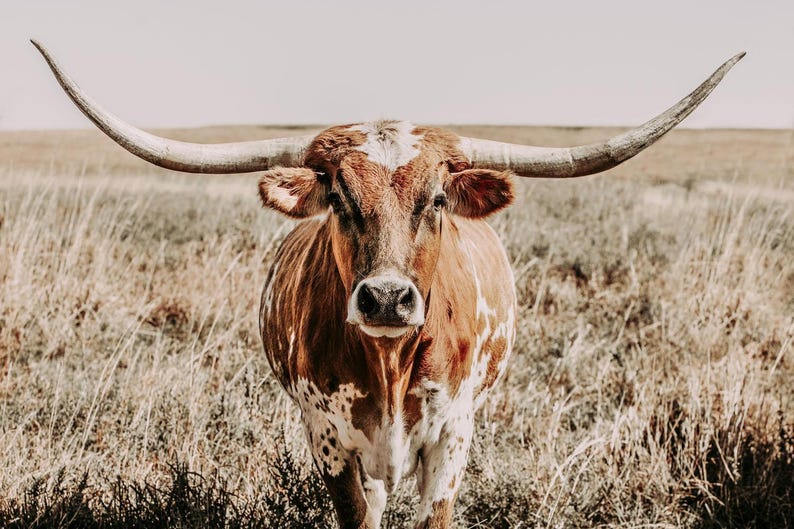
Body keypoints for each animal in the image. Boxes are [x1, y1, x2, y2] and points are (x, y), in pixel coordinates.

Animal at [33, 41, 743, 528]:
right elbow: (358, 515)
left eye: (436, 199)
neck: (390, 362)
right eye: (340, 199)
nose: (386, 298)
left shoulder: (453, 437)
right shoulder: (328, 439)